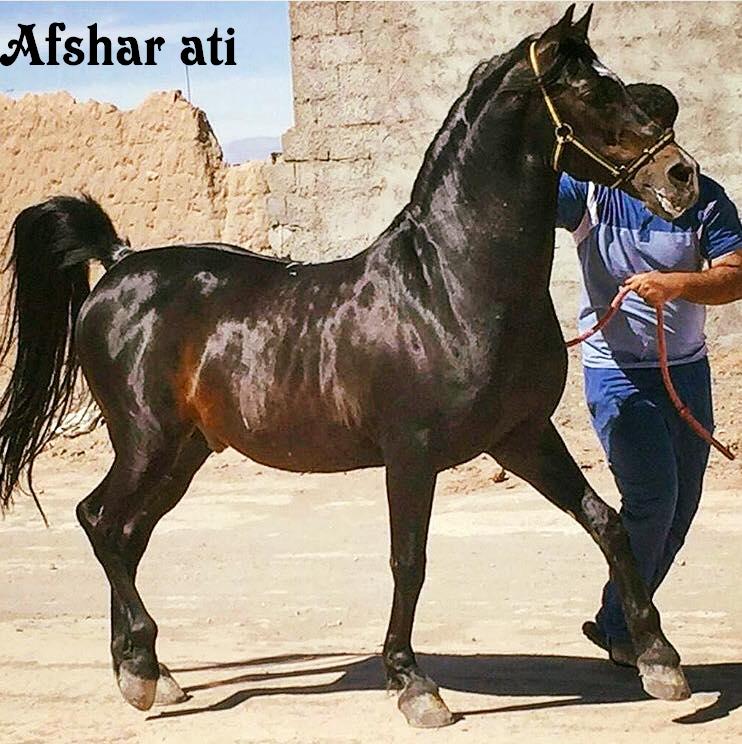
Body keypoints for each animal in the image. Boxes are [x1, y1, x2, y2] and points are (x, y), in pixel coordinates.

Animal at [0, 5, 701, 728]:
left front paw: (660, 661)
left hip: (185, 450)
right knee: (100, 522)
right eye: (591, 91)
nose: (680, 176)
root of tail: (118, 264)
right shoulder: (412, 454)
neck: (451, 286)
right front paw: (414, 685)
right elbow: (409, 561)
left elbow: (606, 521)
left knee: (128, 535)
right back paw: (141, 672)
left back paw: (147, 673)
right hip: (146, 440)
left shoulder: (523, 437)